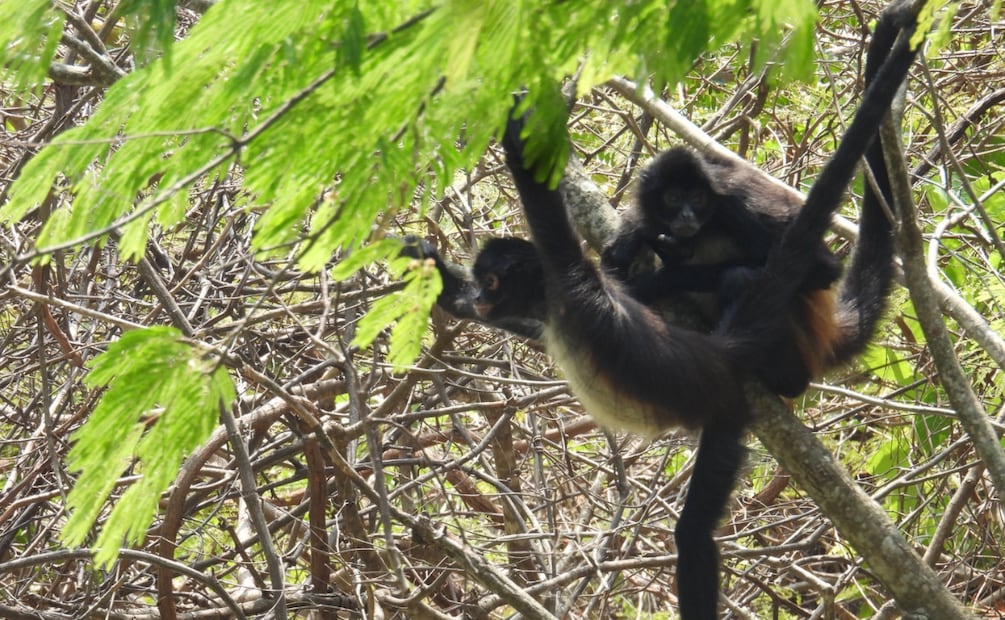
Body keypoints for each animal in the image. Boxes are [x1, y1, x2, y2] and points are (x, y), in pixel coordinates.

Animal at [402, 5, 919, 618]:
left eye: (492, 279)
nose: (480, 293)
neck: (555, 303)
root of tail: (722, 352)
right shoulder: (550, 312)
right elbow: (510, 322)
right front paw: (430, 268)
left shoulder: (571, 283)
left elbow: (544, 208)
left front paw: (517, 117)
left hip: (727, 413)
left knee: (693, 534)